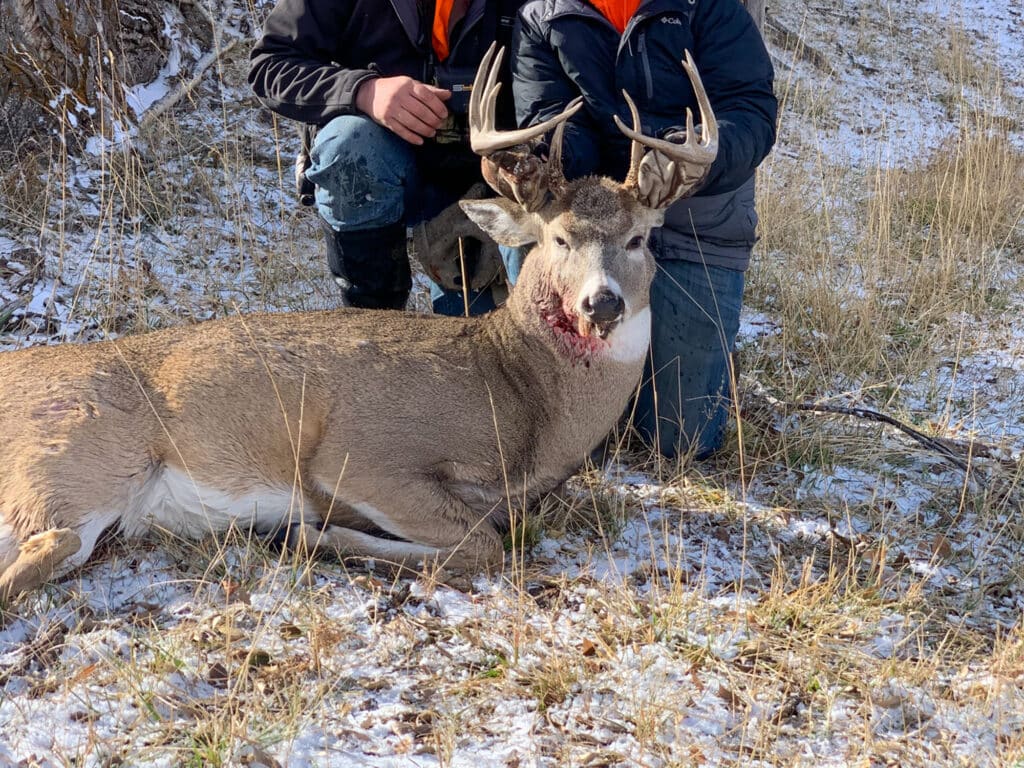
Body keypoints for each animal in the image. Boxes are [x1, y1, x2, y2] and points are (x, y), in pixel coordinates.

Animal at [0, 45, 718, 603]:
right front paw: (311, 535)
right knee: (49, 543)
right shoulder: (363, 453)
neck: (517, 394)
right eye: (560, 238)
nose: (602, 304)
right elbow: (484, 542)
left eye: (639, 239)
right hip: (74, 455)